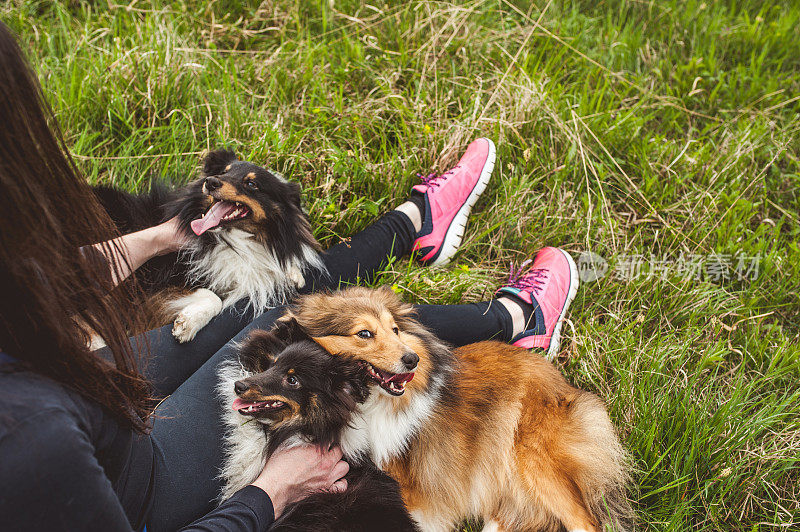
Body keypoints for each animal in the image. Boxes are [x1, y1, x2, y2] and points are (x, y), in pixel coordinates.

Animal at [95, 150, 326, 340]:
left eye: (251, 184)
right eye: (223, 172)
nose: (211, 181)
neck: (232, 238)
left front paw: (293, 272)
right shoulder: (156, 287)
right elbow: (214, 297)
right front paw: (187, 323)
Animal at [284, 286, 636, 532]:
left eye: (395, 329)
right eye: (364, 333)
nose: (412, 359)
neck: (366, 404)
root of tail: (564, 386)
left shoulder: (408, 494)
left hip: (533, 461)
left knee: (586, 523)